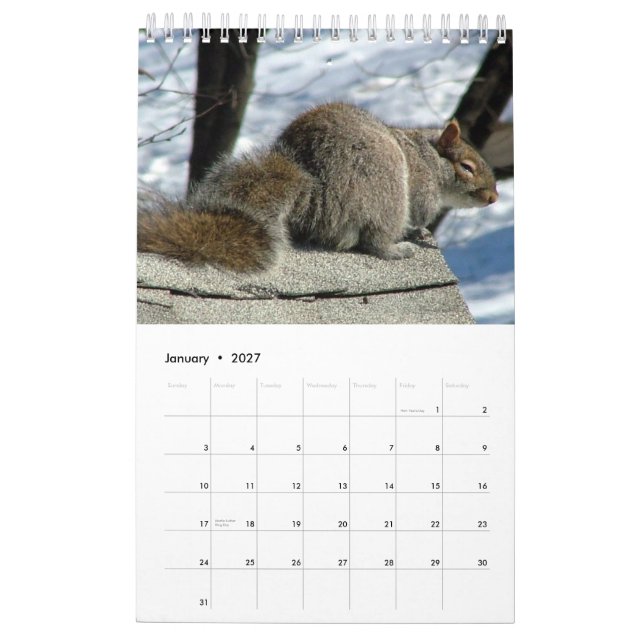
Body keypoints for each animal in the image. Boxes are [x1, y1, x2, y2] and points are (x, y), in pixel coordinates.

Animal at [138, 102, 498, 272]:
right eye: (467, 167)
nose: (494, 197)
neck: (426, 155)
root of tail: (318, 192)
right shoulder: (422, 186)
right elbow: (421, 214)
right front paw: (421, 233)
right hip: (388, 187)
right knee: (375, 240)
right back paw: (398, 249)